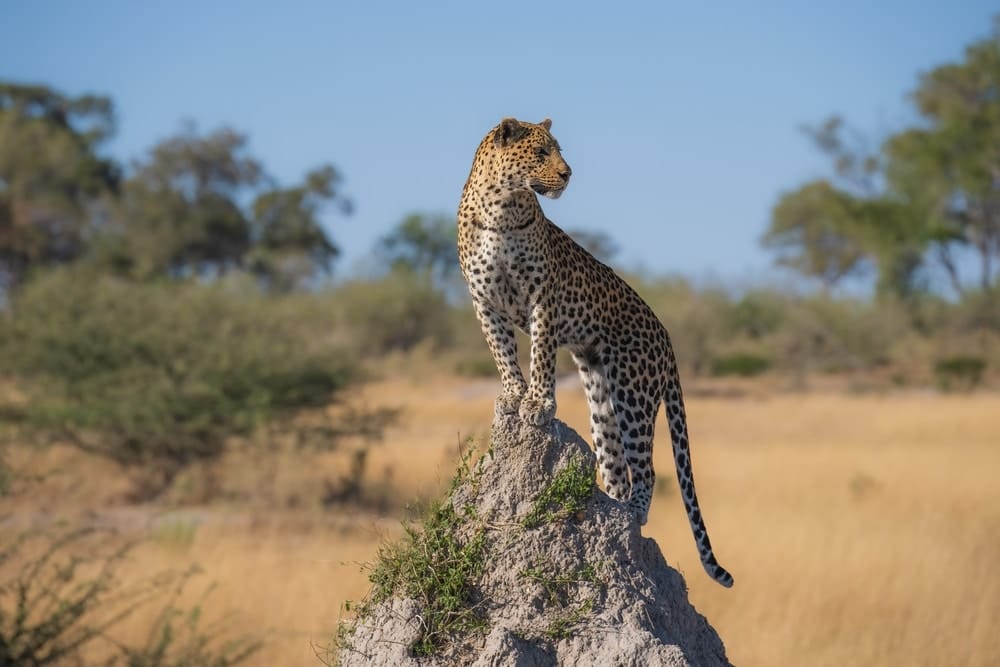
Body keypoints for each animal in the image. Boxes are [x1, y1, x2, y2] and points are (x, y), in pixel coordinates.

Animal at [456, 117, 733, 587]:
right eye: (540, 152)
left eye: (558, 150)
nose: (568, 174)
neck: (501, 207)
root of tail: (666, 336)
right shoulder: (484, 301)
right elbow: (503, 352)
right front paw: (513, 395)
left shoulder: (542, 297)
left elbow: (541, 356)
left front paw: (538, 404)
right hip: (602, 401)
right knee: (618, 469)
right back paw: (616, 509)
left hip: (634, 392)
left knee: (646, 470)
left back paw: (631, 518)